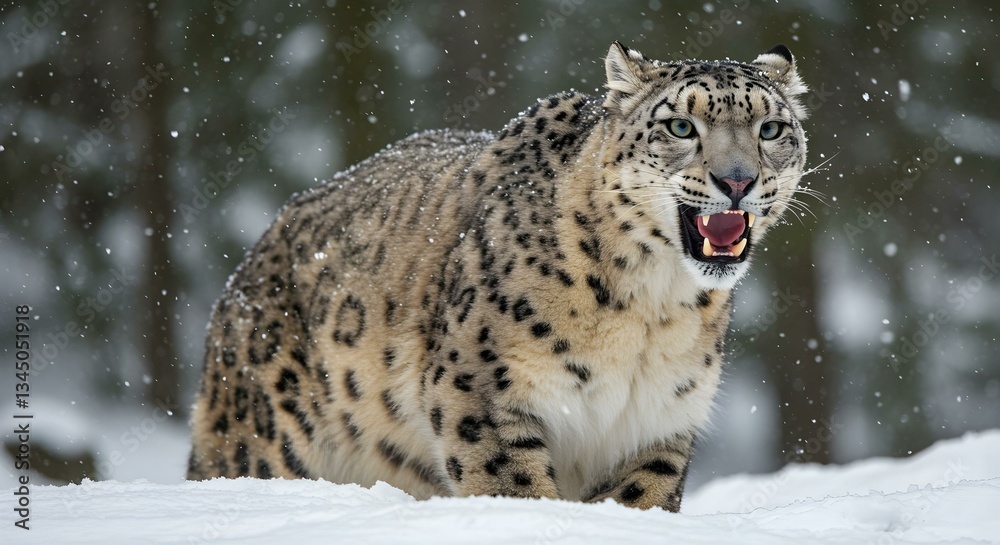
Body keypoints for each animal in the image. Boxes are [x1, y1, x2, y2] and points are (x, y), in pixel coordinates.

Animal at [187, 41, 809, 512]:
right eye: (681, 125)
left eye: (770, 128)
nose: (738, 180)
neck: (652, 309)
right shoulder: (483, 389)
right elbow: (513, 485)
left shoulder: (661, 420)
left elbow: (638, 498)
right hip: (258, 439)